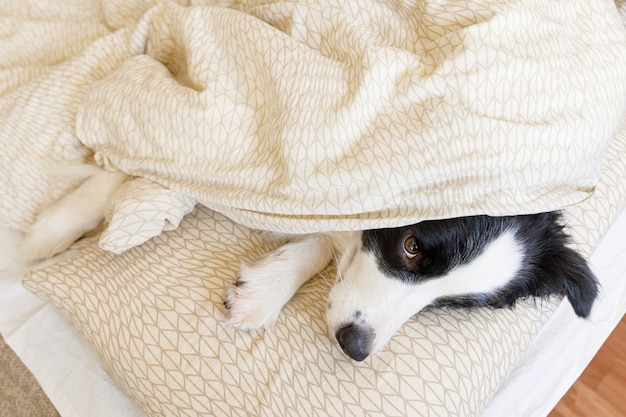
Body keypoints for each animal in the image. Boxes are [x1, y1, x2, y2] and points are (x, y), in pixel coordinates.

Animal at [22, 170, 596, 360]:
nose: (355, 347)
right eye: (411, 245)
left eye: (447, 303)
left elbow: (324, 241)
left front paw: (261, 291)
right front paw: (53, 228)